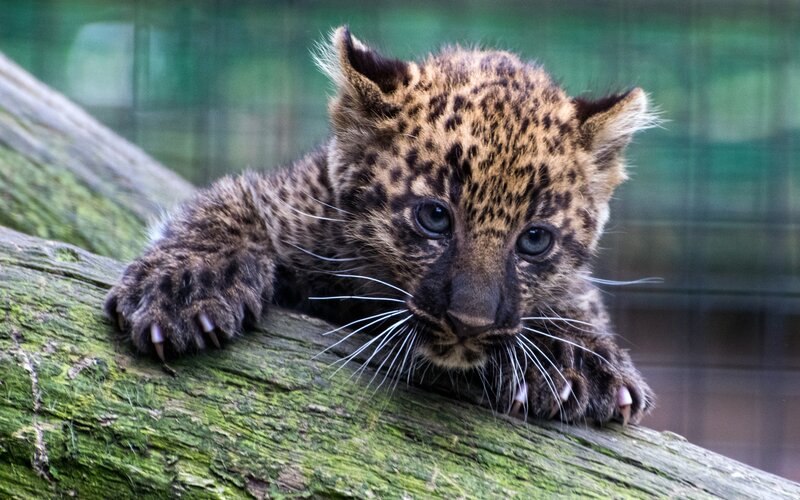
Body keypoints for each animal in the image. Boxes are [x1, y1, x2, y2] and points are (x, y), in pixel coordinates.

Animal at [105, 26, 656, 425]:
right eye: (434, 217)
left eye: (535, 240)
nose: (470, 322)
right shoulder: (289, 198)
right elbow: (225, 207)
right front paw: (183, 288)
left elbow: (578, 297)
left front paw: (577, 358)